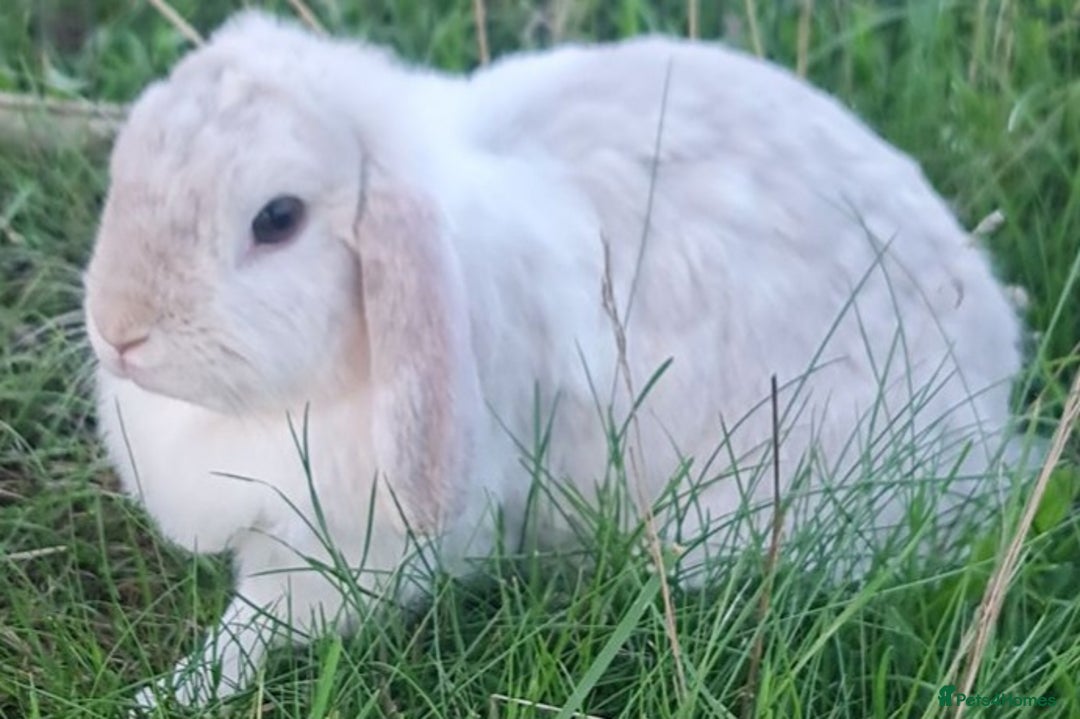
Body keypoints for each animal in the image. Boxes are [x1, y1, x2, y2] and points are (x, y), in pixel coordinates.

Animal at [83, 9, 1025, 710]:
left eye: (277, 219)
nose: (119, 330)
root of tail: (993, 411)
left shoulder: (348, 548)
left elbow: (260, 628)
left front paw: (166, 692)